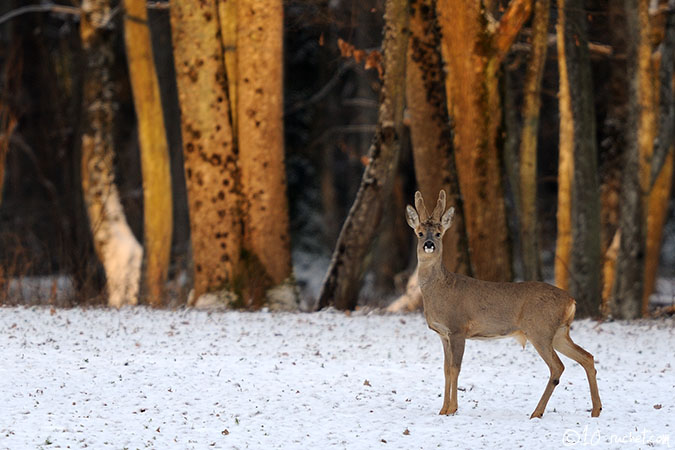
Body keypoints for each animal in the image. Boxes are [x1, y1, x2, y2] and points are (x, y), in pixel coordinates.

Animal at [405, 190, 602, 419]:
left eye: (438, 233)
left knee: (558, 367)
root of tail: (571, 301)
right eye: (420, 233)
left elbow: (455, 368)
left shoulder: (458, 328)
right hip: (560, 332)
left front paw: (452, 409)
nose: (429, 244)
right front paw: (443, 409)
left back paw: (537, 412)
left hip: (540, 329)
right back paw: (596, 410)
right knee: (587, 357)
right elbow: (446, 369)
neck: (440, 290)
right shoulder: (443, 334)